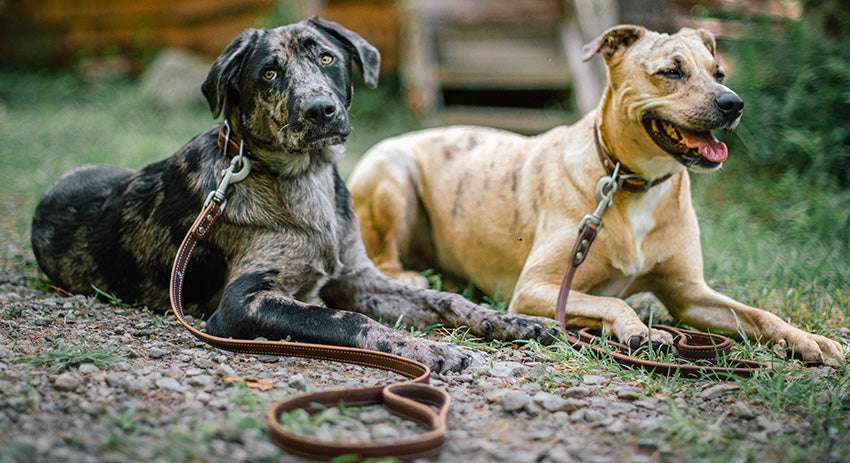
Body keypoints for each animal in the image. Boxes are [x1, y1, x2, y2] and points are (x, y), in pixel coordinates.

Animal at [29, 17, 556, 374]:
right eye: (268, 73)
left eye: (326, 58)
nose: (320, 111)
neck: (306, 180)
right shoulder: (242, 303)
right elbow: (346, 320)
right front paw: (428, 348)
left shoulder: (356, 276)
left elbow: (446, 298)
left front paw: (515, 322)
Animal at [348, 25, 844, 368]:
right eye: (672, 71)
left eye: (718, 72)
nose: (733, 103)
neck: (631, 181)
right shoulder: (535, 289)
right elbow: (613, 300)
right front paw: (639, 330)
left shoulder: (690, 295)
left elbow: (759, 316)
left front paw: (808, 341)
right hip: (393, 172)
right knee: (382, 258)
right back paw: (412, 277)